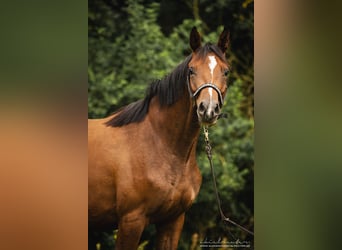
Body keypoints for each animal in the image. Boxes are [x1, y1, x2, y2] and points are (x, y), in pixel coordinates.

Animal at [89, 27, 231, 250]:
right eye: (191, 70)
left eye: (226, 71)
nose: (208, 109)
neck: (162, 145)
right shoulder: (131, 221)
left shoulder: (173, 220)